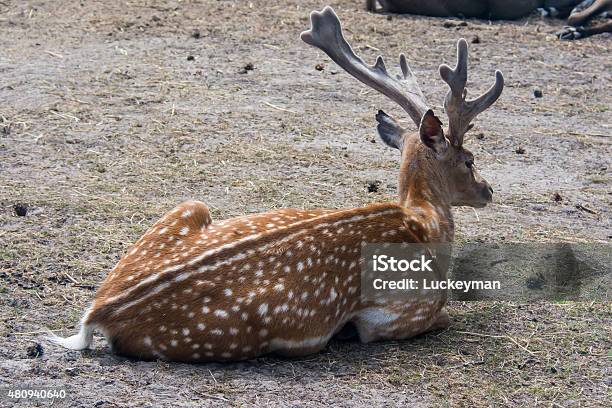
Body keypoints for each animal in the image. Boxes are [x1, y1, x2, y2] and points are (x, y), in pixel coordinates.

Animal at [47, 6, 504, 362]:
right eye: (469, 159)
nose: (488, 190)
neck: (425, 222)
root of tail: (98, 314)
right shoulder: (402, 312)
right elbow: (443, 315)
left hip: (188, 206)